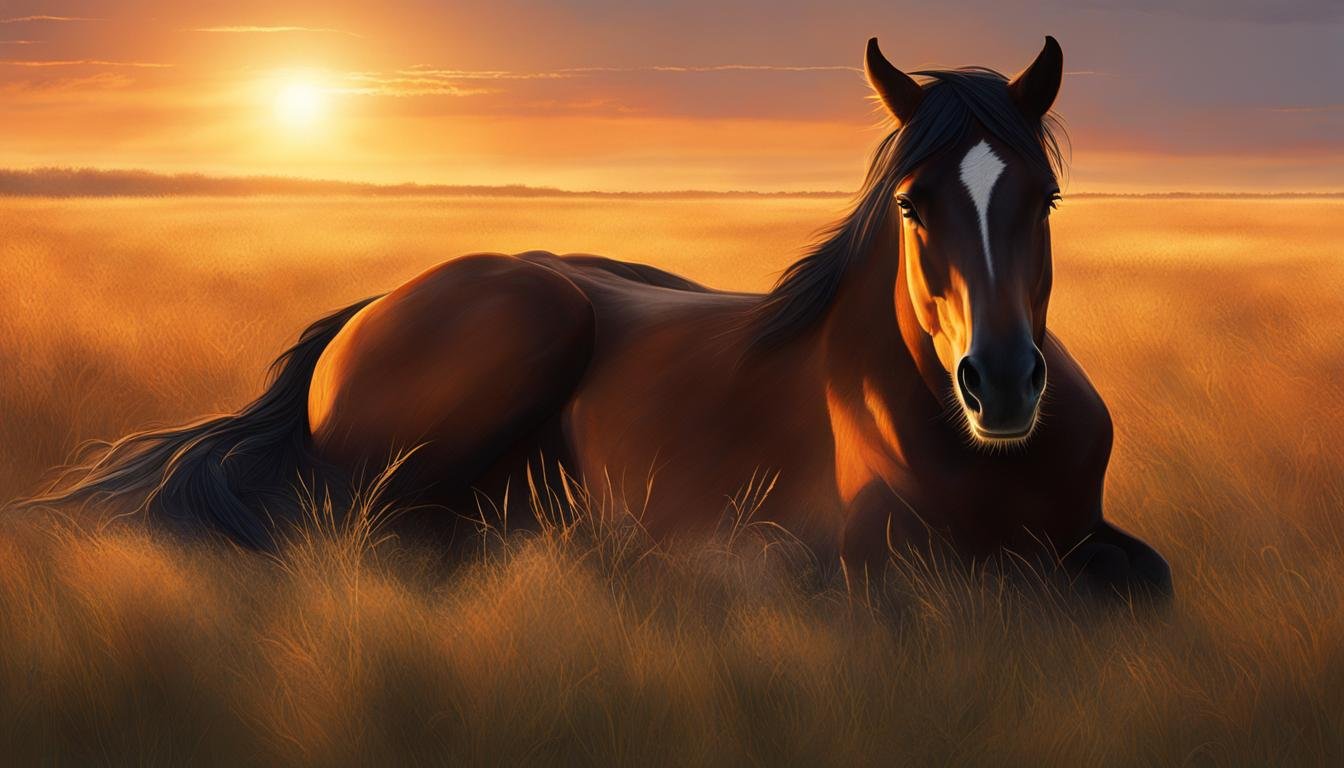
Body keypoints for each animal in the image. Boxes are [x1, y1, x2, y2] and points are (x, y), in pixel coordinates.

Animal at [26, 36, 1172, 599]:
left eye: (1044, 199)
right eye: (911, 205)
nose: (1004, 384)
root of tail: (365, 309)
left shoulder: (1089, 538)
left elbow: (1143, 580)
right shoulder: (848, 566)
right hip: (519, 329)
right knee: (351, 526)